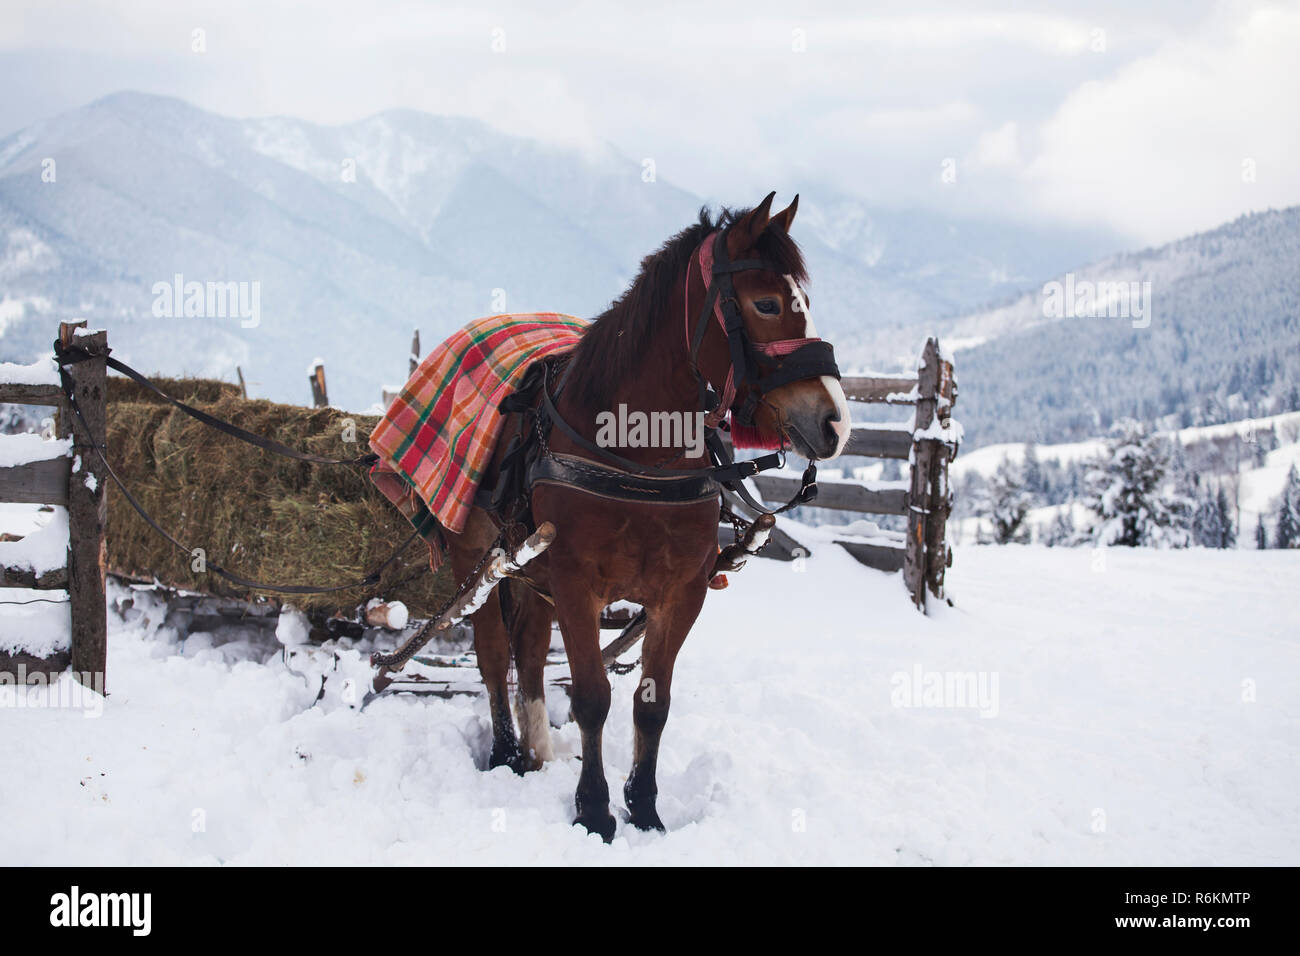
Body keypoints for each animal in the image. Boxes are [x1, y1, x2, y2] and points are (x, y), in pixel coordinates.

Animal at [441, 192, 850, 841]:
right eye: (766, 303)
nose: (834, 421)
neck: (636, 455)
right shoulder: (576, 583)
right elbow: (591, 697)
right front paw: (592, 811)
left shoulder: (680, 592)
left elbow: (652, 704)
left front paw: (645, 807)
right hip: (475, 558)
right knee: (491, 652)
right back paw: (506, 752)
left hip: (531, 569)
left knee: (528, 652)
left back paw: (535, 752)